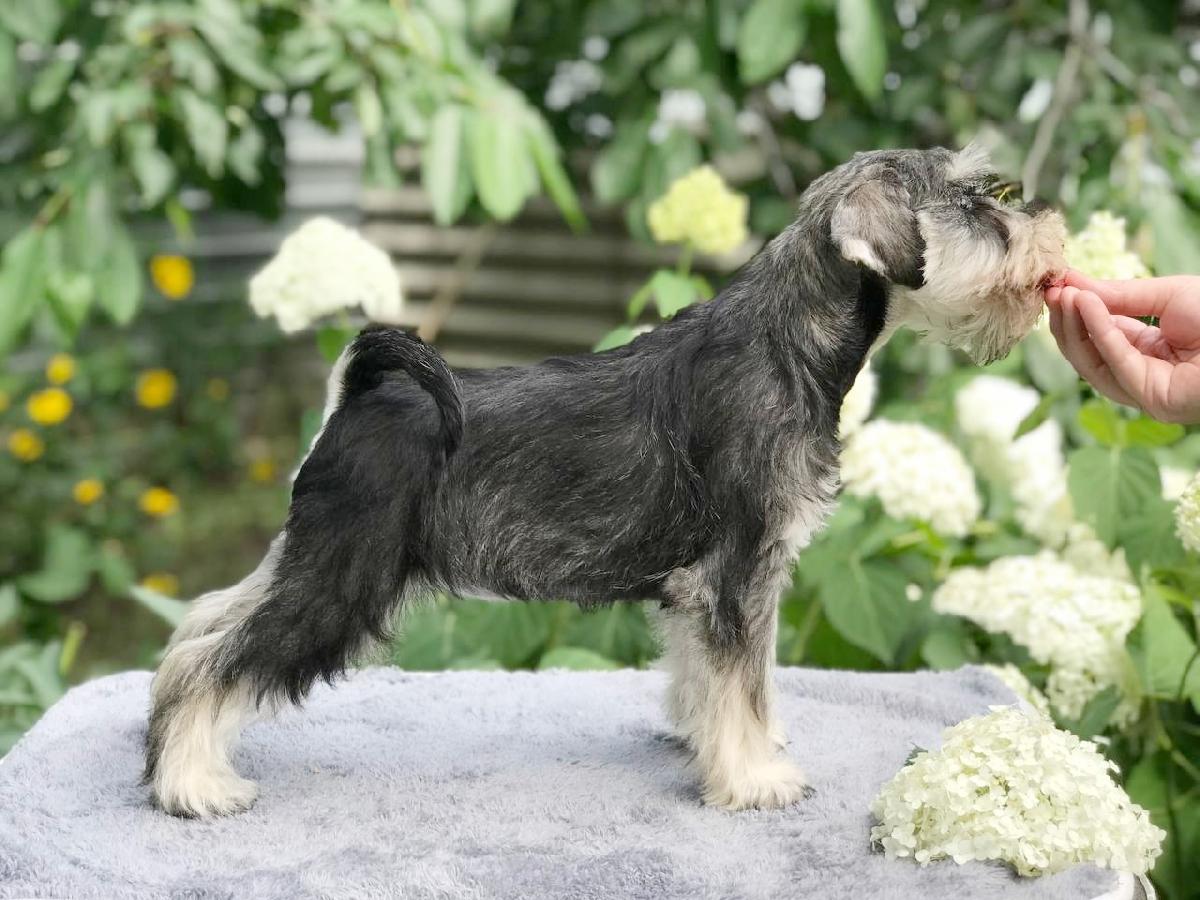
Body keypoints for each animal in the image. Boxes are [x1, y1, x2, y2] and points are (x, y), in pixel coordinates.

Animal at [145, 145, 1066, 817]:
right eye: (973, 203)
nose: (1046, 225)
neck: (788, 343)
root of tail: (362, 391)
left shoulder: (707, 590)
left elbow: (715, 681)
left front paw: (712, 749)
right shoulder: (740, 575)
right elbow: (746, 684)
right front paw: (755, 779)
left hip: (311, 556)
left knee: (198, 629)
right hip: (342, 577)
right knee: (216, 662)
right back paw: (191, 785)